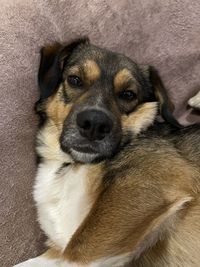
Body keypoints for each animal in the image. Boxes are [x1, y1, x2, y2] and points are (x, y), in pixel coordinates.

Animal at [14, 38, 200, 267]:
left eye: (128, 94)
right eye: (75, 80)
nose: (94, 124)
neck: (71, 164)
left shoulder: (150, 185)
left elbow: (75, 253)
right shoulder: (55, 248)